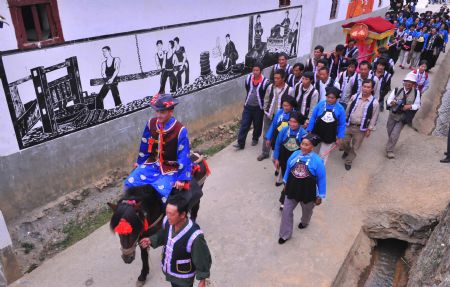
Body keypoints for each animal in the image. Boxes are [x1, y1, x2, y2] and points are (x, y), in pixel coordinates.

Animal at [109, 153, 209, 286]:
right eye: (118, 231)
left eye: (132, 230)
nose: (127, 258)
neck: (151, 205)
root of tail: (196, 155)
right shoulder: (142, 234)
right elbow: (144, 255)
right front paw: (143, 275)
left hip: (198, 193)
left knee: (194, 211)